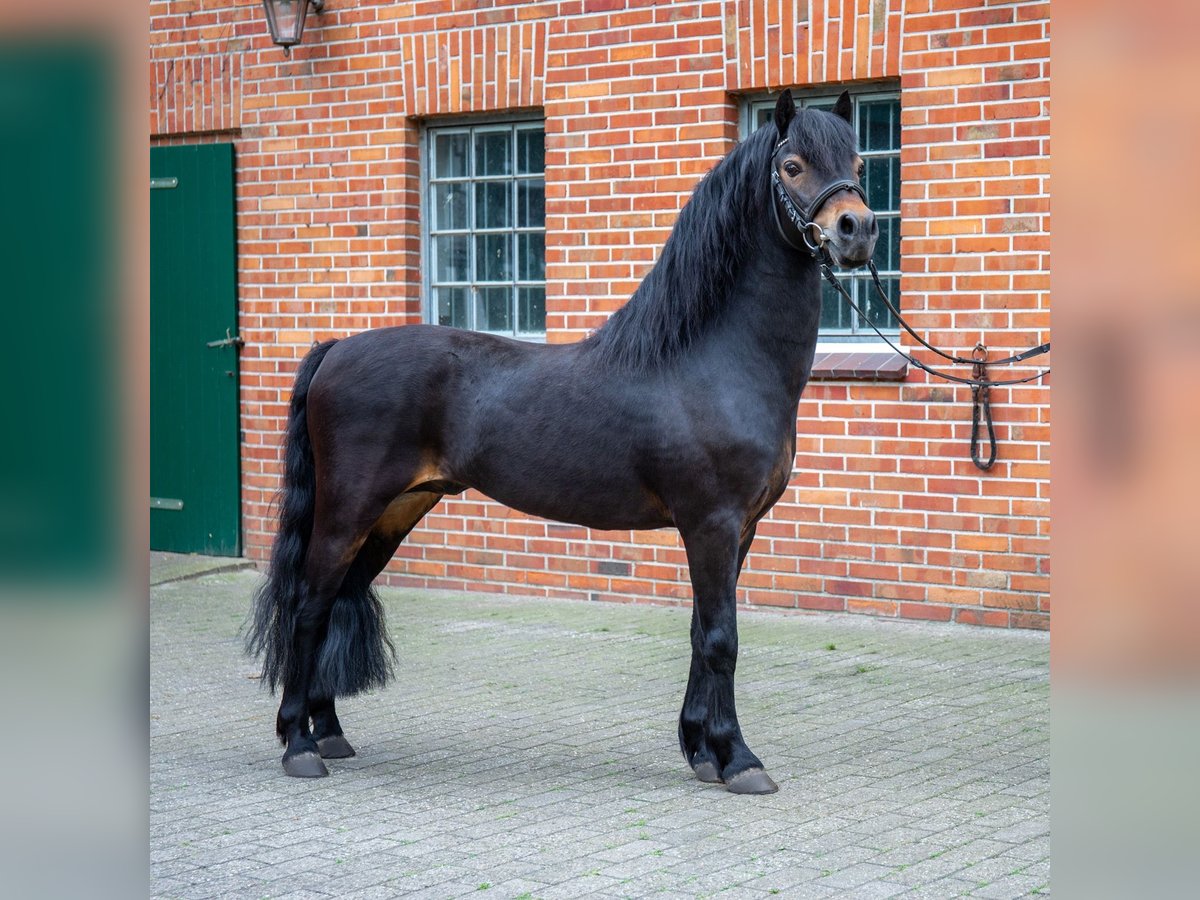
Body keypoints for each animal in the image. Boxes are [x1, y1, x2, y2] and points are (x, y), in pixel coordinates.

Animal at [248, 89, 878, 794]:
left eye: (857, 161)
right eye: (793, 165)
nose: (856, 229)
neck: (713, 360)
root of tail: (334, 350)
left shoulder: (739, 530)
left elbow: (700, 633)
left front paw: (700, 749)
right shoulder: (711, 525)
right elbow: (721, 639)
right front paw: (738, 758)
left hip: (394, 513)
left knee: (337, 600)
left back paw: (329, 733)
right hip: (347, 511)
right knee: (308, 606)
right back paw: (300, 745)